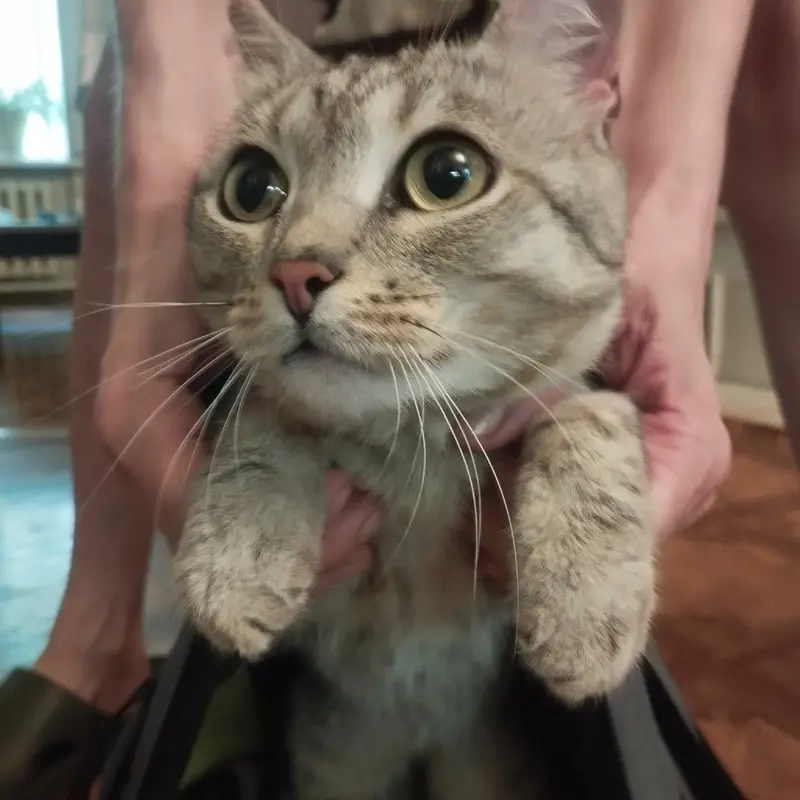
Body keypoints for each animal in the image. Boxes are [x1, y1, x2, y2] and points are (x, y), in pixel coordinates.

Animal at [174, 1, 655, 797]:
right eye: (252, 187)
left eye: (447, 174)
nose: (295, 273)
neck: (410, 443)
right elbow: (267, 410)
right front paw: (238, 554)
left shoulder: (578, 384)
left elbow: (592, 413)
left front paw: (589, 599)